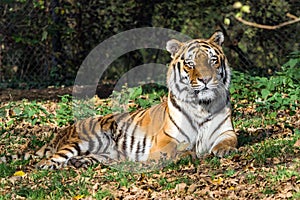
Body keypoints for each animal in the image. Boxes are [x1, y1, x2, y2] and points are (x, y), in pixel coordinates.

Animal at [2, 30, 238, 169]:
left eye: (213, 60)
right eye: (190, 64)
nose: (206, 79)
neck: (202, 107)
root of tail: (64, 130)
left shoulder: (226, 131)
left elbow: (228, 141)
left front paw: (223, 150)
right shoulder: (165, 140)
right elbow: (176, 150)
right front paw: (187, 154)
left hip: (106, 152)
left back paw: (81, 163)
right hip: (85, 141)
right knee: (49, 160)